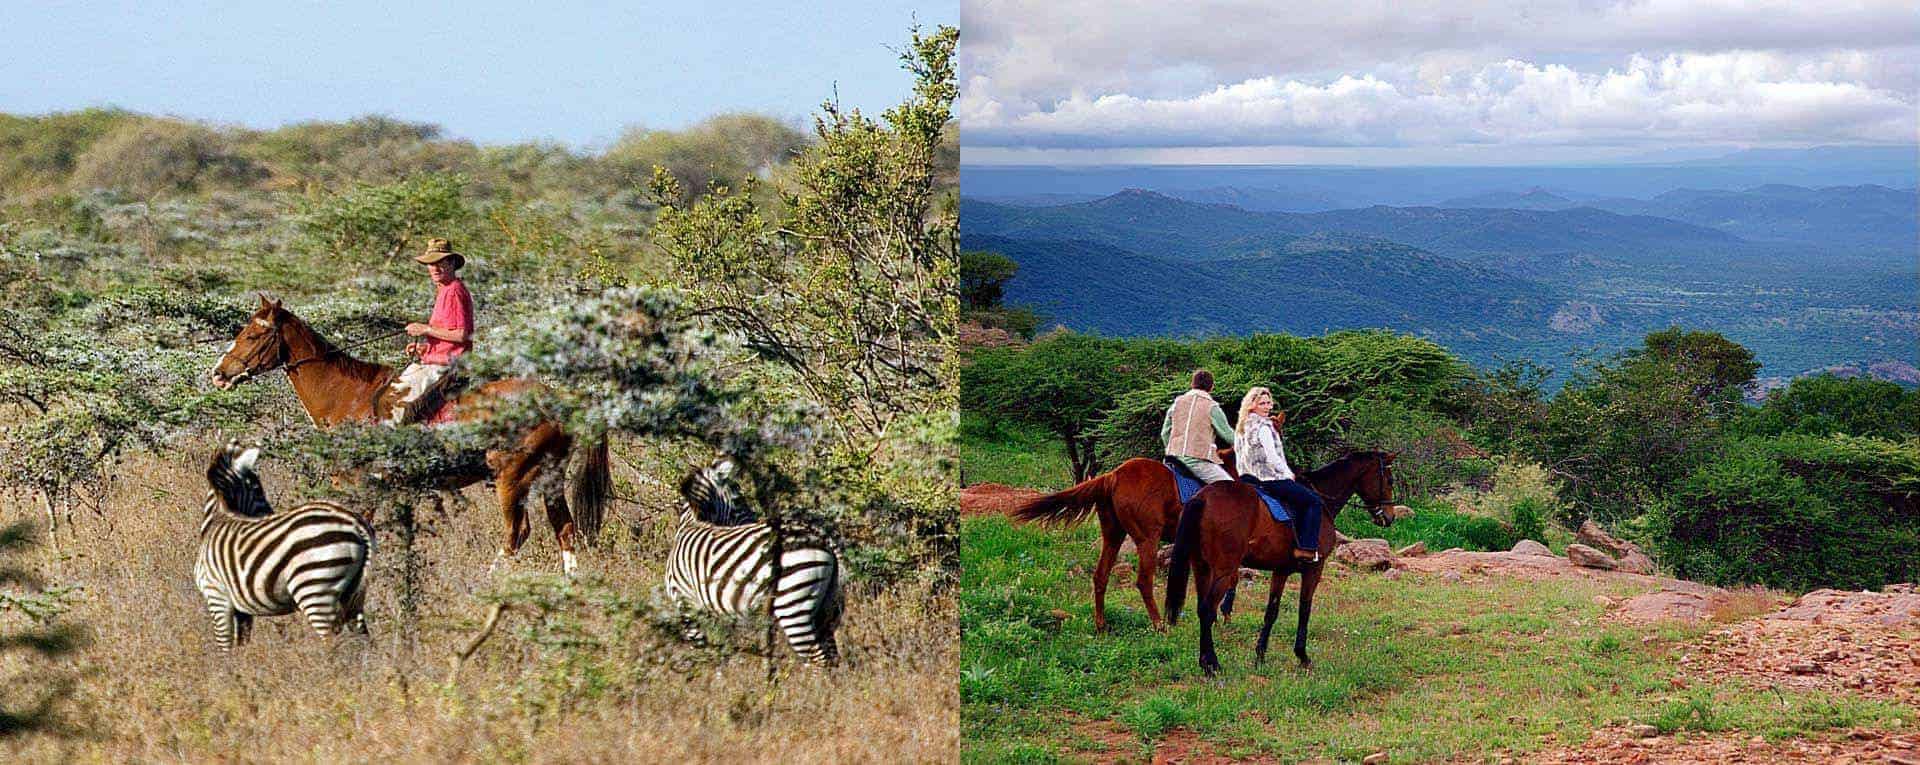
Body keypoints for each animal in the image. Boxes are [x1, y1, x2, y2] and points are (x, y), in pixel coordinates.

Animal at [194, 442, 374, 649]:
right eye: (257, 489)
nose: (270, 514)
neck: (217, 519)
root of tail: (355, 522)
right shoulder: (242, 609)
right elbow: (241, 645)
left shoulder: (216, 597)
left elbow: (224, 648)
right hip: (352, 594)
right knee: (363, 640)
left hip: (315, 588)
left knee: (330, 643)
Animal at [208, 296, 606, 576]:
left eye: (253, 335)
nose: (218, 374)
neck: (348, 397)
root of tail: (560, 398)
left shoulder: (360, 483)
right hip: (549, 479)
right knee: (565, 529)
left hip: (512, 477)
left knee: (517, 533)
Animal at [668, 457, 848, 665]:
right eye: (739, 500)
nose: (754, 521)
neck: (691, 523)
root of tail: (823, 538)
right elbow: (722, 646)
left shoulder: (684, 601)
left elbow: (703, 648)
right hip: (825, 605)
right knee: (832, 657)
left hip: (793, 605)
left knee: (818, 658)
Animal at [998, 447, 1236, 634]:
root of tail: (1113, 476)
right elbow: (1227, 580)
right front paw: (1221, 618)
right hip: (1147, 540)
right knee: (1143, 581)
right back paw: (1159, 625)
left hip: (1113, 536)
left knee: (1100, 576)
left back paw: (1101, 625)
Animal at [1159, 447, 1405, 676]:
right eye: (1389, 480)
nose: (1389, 516)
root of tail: (1202, 497)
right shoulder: (1314, 569)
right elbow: (1304, 609)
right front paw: (1302, 656)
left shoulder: (1281, 571)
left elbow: (1272, 611)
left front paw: (1260, 655)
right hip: (1223, 571)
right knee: (1208, 610)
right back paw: (1212, 665)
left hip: (1202, 567)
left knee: (1203, 609)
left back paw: (1205, 661)